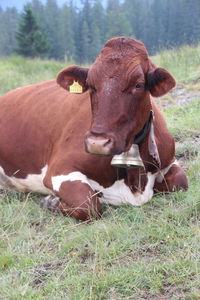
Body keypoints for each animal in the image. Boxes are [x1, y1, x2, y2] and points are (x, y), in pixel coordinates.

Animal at [0, 37, 188, 220]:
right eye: (90, 84)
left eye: (139, 84)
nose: (97, 143)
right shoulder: (60, 168)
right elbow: (89, 205)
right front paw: (50, 202)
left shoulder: (169, 159)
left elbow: (181, 182)